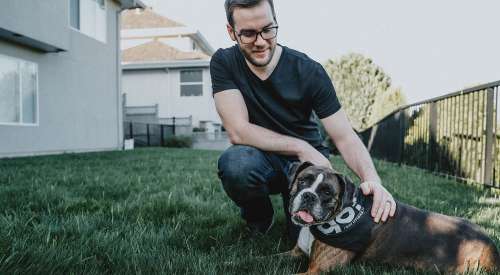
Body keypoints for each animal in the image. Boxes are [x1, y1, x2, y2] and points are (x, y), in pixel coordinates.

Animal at [286, 163, 500, 274]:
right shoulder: (293, 254)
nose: (308, 196)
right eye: (303, 180)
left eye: (327, 192)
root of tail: (491, 244)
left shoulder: (317, 270)